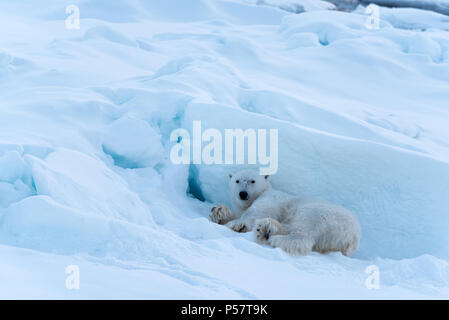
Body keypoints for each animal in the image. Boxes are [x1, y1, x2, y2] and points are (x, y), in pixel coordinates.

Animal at [210, 170, 360, 258]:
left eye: (252, 180)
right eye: (237, 180)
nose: (243, 193)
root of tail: (353, 236)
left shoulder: (270, 198)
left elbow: (255, 211)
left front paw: (236, 224)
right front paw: (218, 212)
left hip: (321, 214)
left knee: (303, 232)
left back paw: (273, 237)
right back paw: (265, 229)